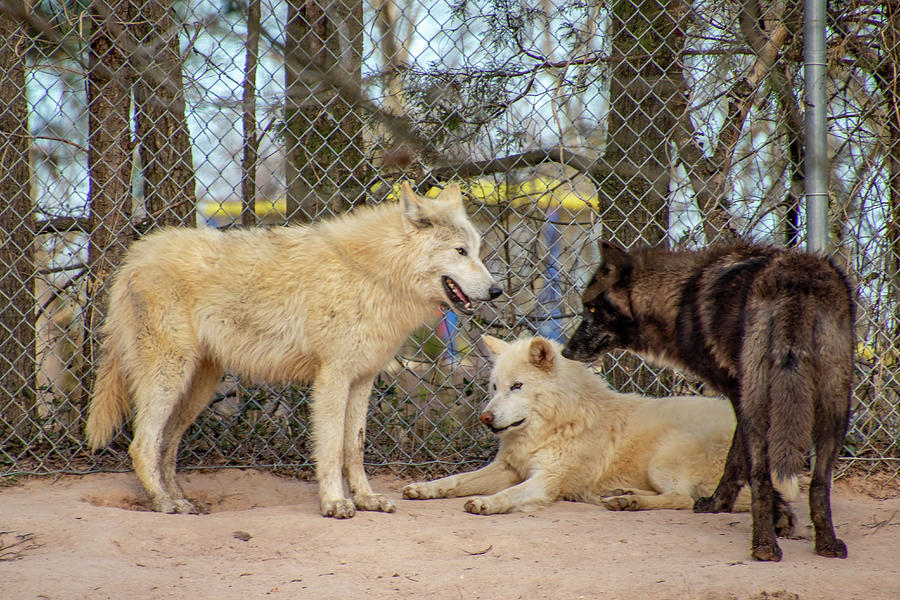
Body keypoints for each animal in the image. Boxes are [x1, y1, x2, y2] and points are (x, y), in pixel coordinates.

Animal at [86, 182, 500, 516]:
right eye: (461, 251)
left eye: (478, 250)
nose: (496, 290)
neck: (372, 274)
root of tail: (133, 257)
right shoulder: (332, 378)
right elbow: (331, 449)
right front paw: (335, 503)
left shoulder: (362, 380)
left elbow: (354, 448)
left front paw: (366, 499)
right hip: (168, 377)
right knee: (142, 444)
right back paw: (164, 503)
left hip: (197, 388)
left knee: (166, 446)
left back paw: (182, 500)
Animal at [404, 336, 800, 516]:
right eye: (493, 387)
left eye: (517, 386)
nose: (485, 417)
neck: (556, 424)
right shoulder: (507, 469)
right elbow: (455, 480)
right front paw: (425, 489)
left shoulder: (545, 481)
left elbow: (507, 495)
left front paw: (486, 503)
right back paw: (622, 495)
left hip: (664, 458)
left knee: (683, 498)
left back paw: (629, 502)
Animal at [568, 240, 856, 564]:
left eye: (591, 307)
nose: (566, 350)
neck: (680, 296)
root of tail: (795, 277)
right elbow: (738, 463)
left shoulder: (736, 393)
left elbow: (738, 463)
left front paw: (728, 505)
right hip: (835, 404)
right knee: (819, 483)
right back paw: (827, 543)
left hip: (760, 402)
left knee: (761, 474)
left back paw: (764, 547)